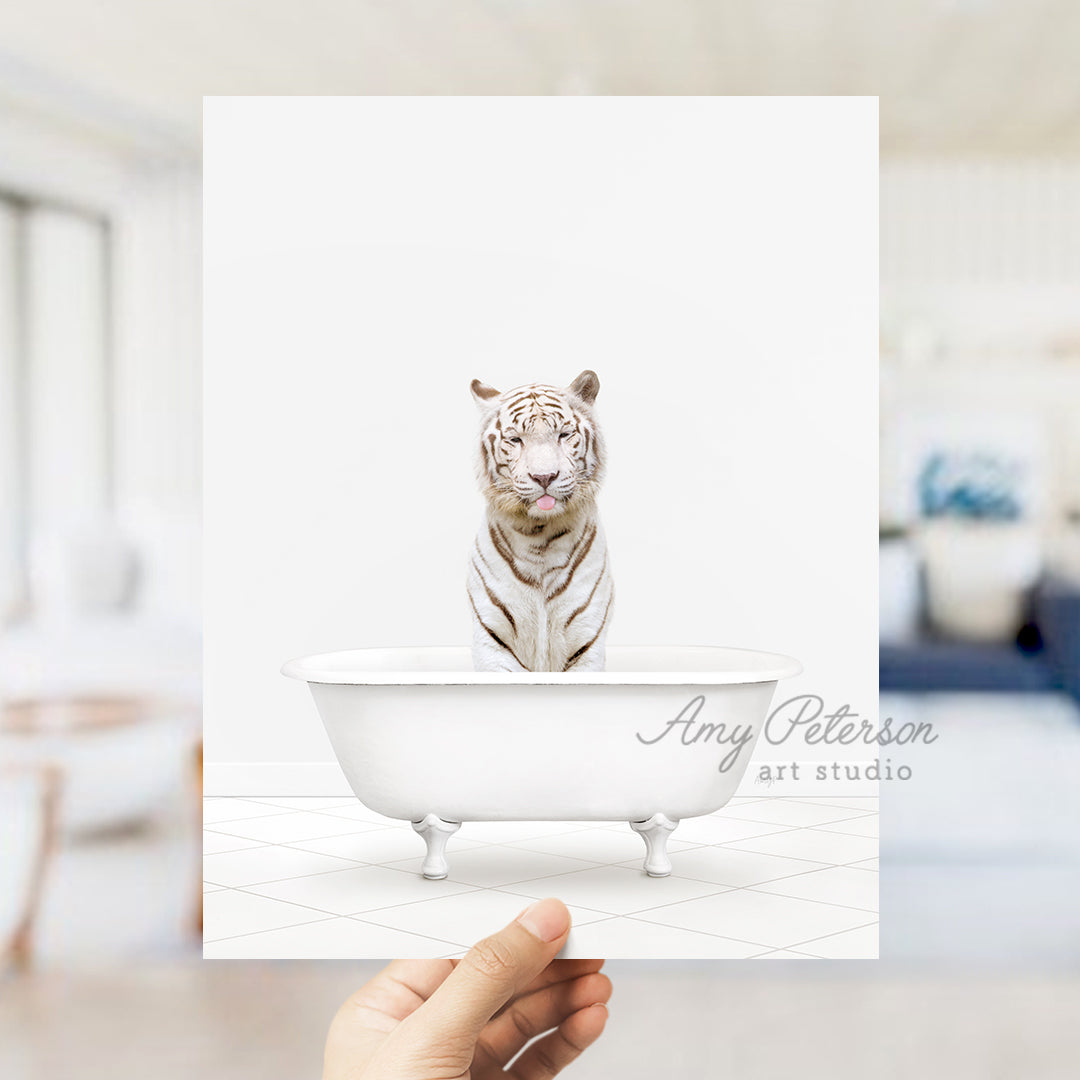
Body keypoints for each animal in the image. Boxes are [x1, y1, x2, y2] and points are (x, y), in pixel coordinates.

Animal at [466, 375, 617, 669]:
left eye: (564, 435)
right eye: (515, 439)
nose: (544, 477)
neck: (539, 536)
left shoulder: (587, 637)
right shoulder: (492, 638)